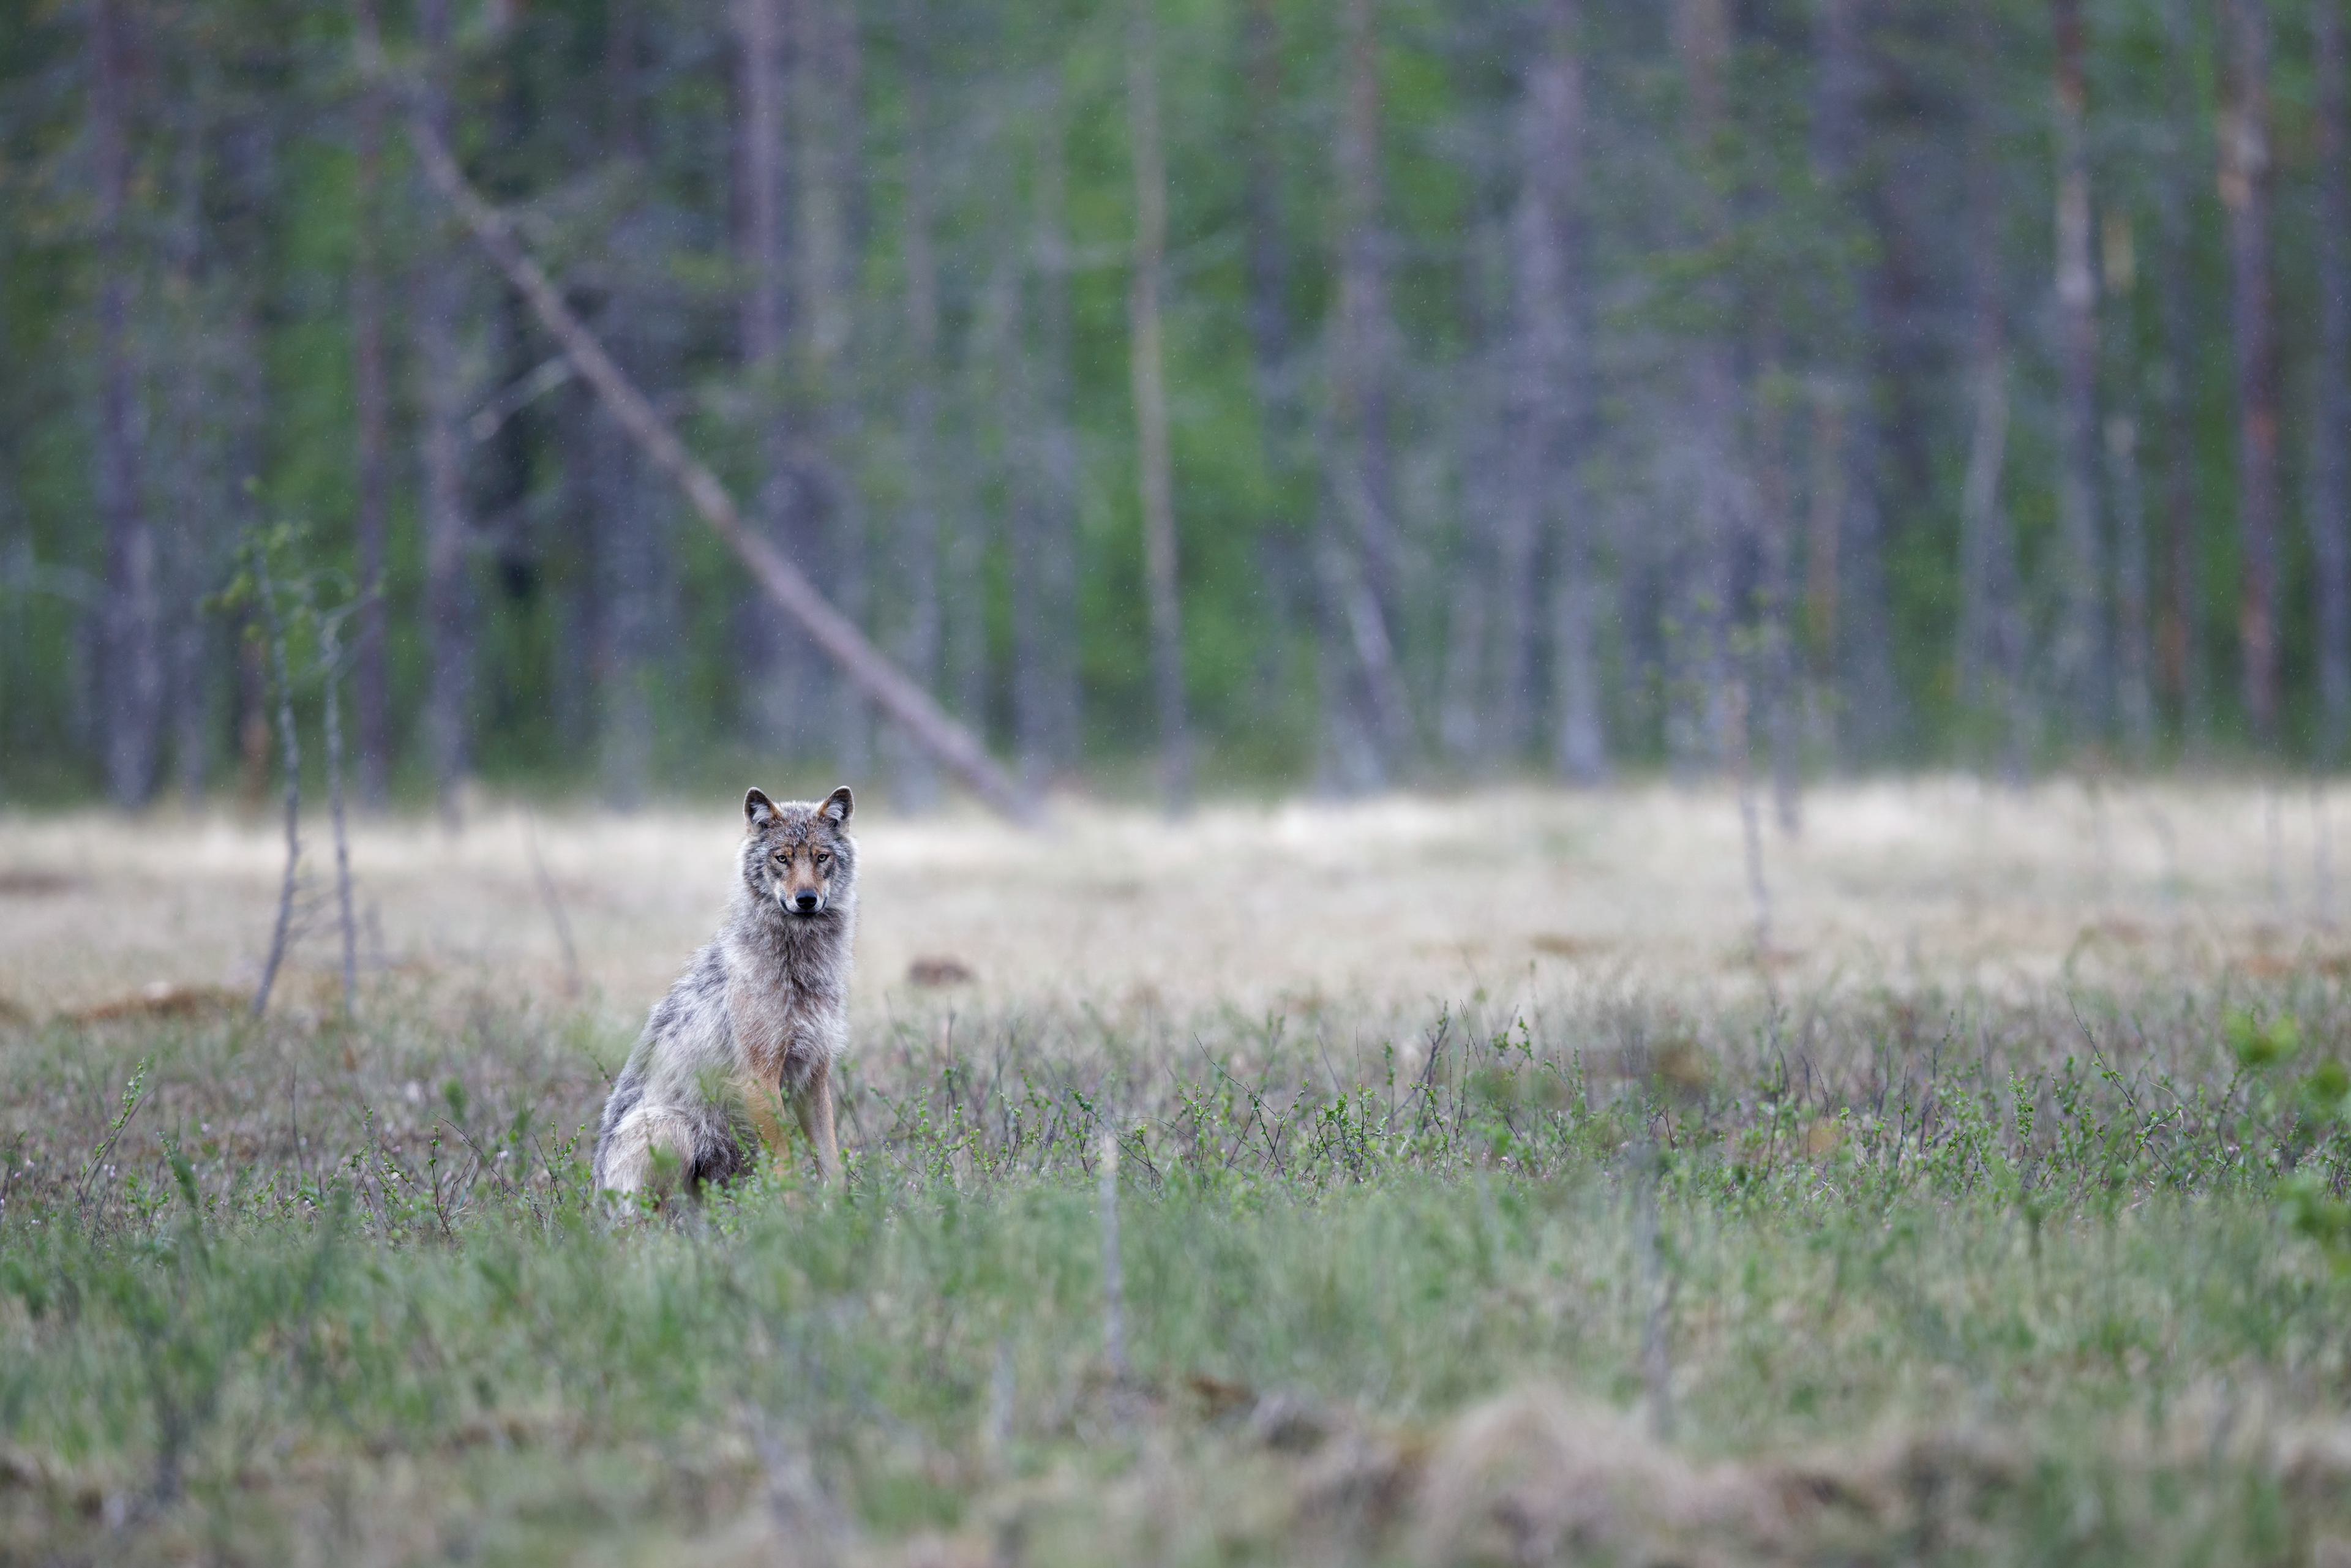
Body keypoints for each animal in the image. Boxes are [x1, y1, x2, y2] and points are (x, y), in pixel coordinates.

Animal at [591, 785, 856, 1198]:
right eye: (782, 858)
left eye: (821, 857)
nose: (806, 899)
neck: (799, 968)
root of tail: (596, 1197)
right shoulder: (757, 1082)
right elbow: (787, 1170)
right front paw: (797, 1214)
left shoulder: (814, 1076)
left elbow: (832, 1163)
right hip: (671, 1127)